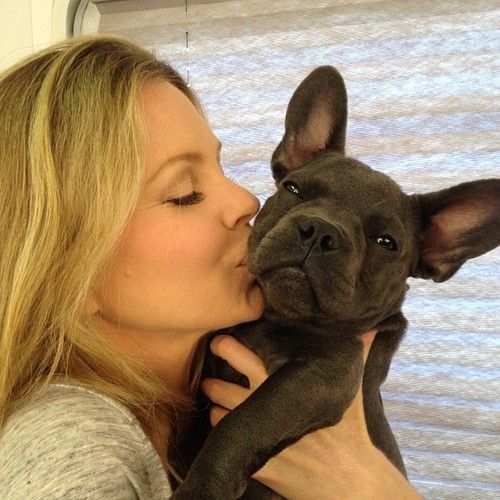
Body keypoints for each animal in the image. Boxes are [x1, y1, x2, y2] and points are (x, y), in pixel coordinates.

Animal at [169, 66, 500, 500]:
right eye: (293, 189)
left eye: (386, 242)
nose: (320, 231)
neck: (277, 318)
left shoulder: (325, 375)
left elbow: (241, 422)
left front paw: (201, 487)